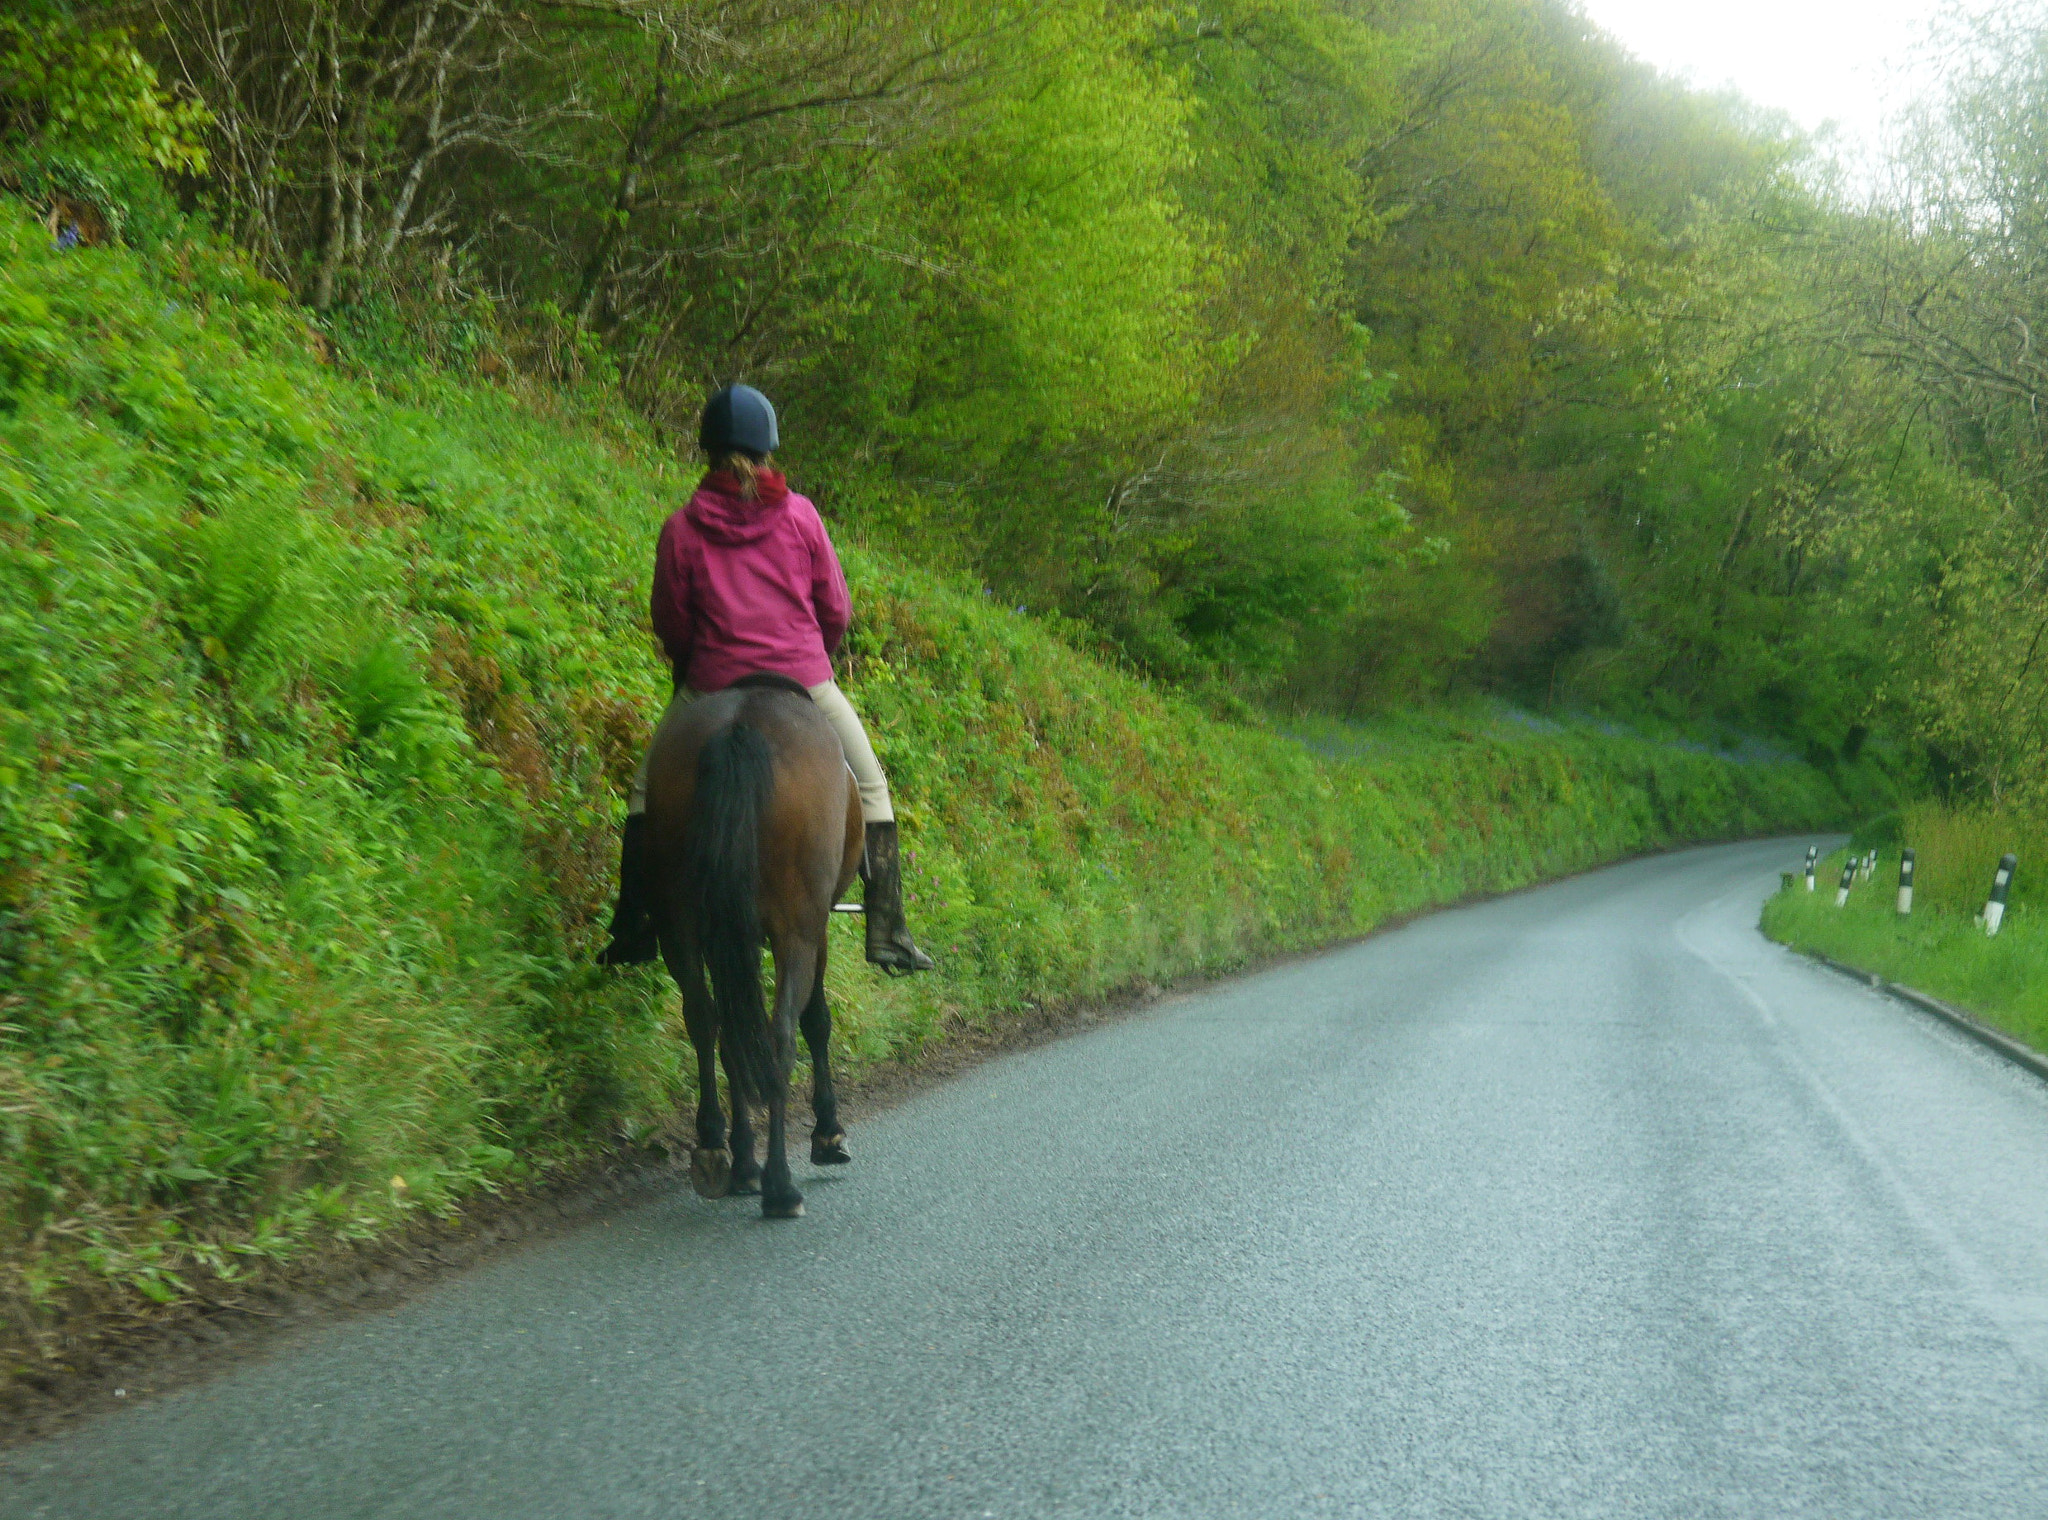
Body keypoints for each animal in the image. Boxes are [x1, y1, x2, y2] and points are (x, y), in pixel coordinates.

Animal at [643, 671, 860, 1220]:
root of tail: (739, 728)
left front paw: (742, 1158)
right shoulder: (815, 928)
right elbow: (816, 1021)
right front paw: (828, 1134)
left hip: (685, 924)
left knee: (708, 1021)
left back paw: (721, 1155)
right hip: (796, 930)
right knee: (780, 1034)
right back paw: (781, 1187)